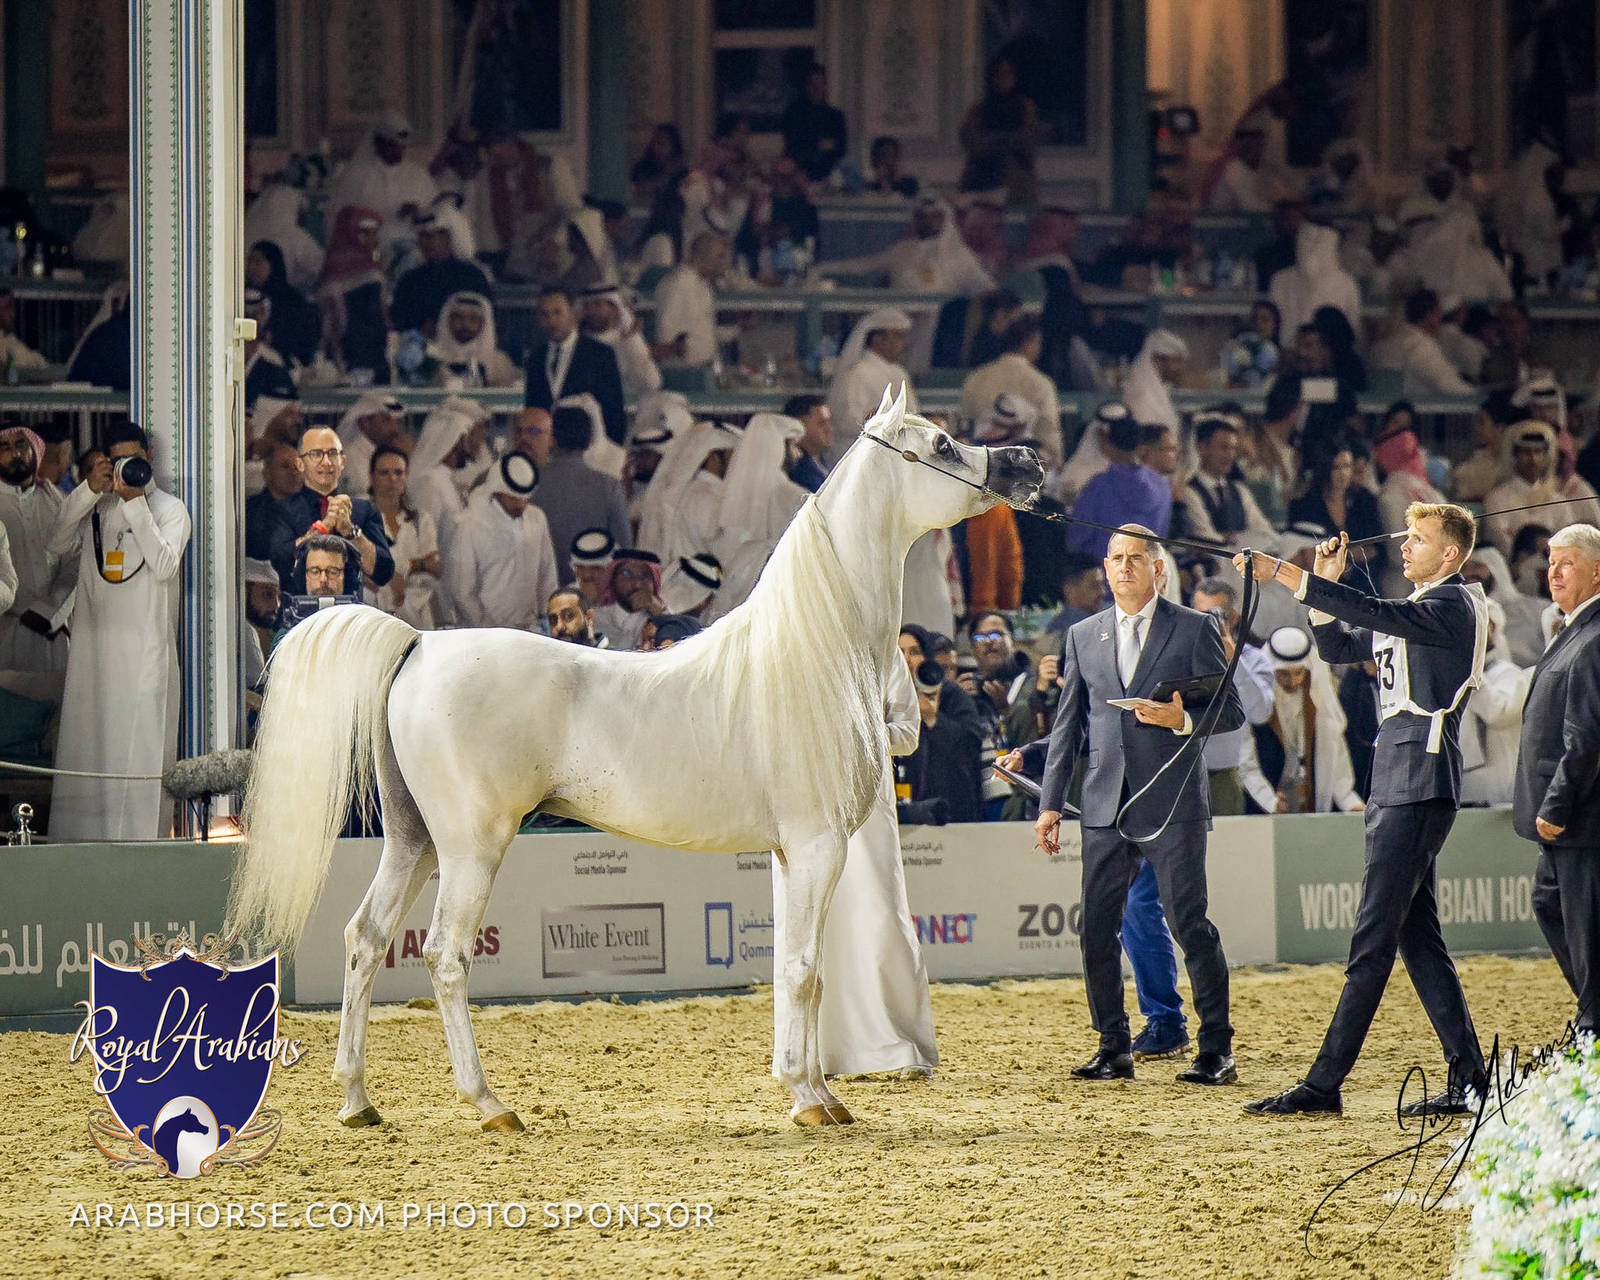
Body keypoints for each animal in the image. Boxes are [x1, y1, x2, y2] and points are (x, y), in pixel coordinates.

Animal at [227, 386, 1043, 1131]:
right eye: (940, 444)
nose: (1027, 463)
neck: (814, 652)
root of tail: (419, 643)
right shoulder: (817, 848)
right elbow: (807, 971)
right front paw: (814, 1101)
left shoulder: (790, 855)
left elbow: (791, 968)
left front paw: (808, 1087)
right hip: (470, 848)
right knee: (445, 955)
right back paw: (489, 1105)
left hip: (412, 839)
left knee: (365, 940)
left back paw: (358, 1100)